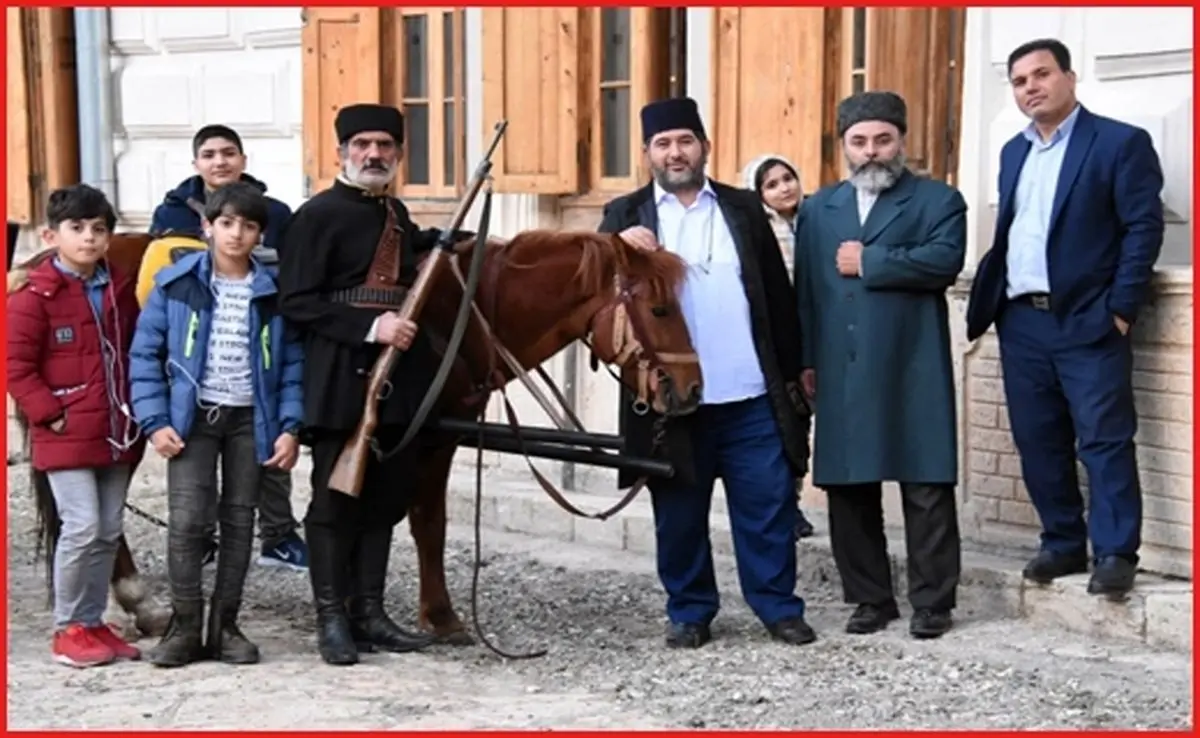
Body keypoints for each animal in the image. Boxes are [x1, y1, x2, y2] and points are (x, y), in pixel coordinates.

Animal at [11, 226, 700, 648]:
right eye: (660, 308)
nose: (692, 390)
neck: (458, 314)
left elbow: (385, 520)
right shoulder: (421, 442)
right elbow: (424, 523)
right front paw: (440, 616)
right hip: (129, 431)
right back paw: (139, 600)